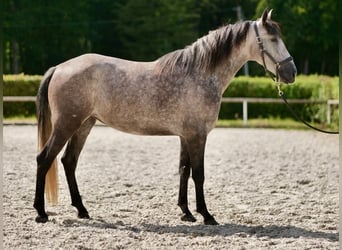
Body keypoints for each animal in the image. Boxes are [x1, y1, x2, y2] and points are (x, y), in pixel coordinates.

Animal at [34, 9, 296, 225]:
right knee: (44, 159)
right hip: (66, 125)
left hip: (83, 125)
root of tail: (59, 68)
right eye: (273, 39)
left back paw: (82, 210)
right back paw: (41, 213)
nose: (291, 73)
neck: (200, 74)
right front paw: (206, 215)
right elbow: (198, 174)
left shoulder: (186, 136)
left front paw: (186, 213)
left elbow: (183, 170)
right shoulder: (197, 136)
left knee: (69, 161)